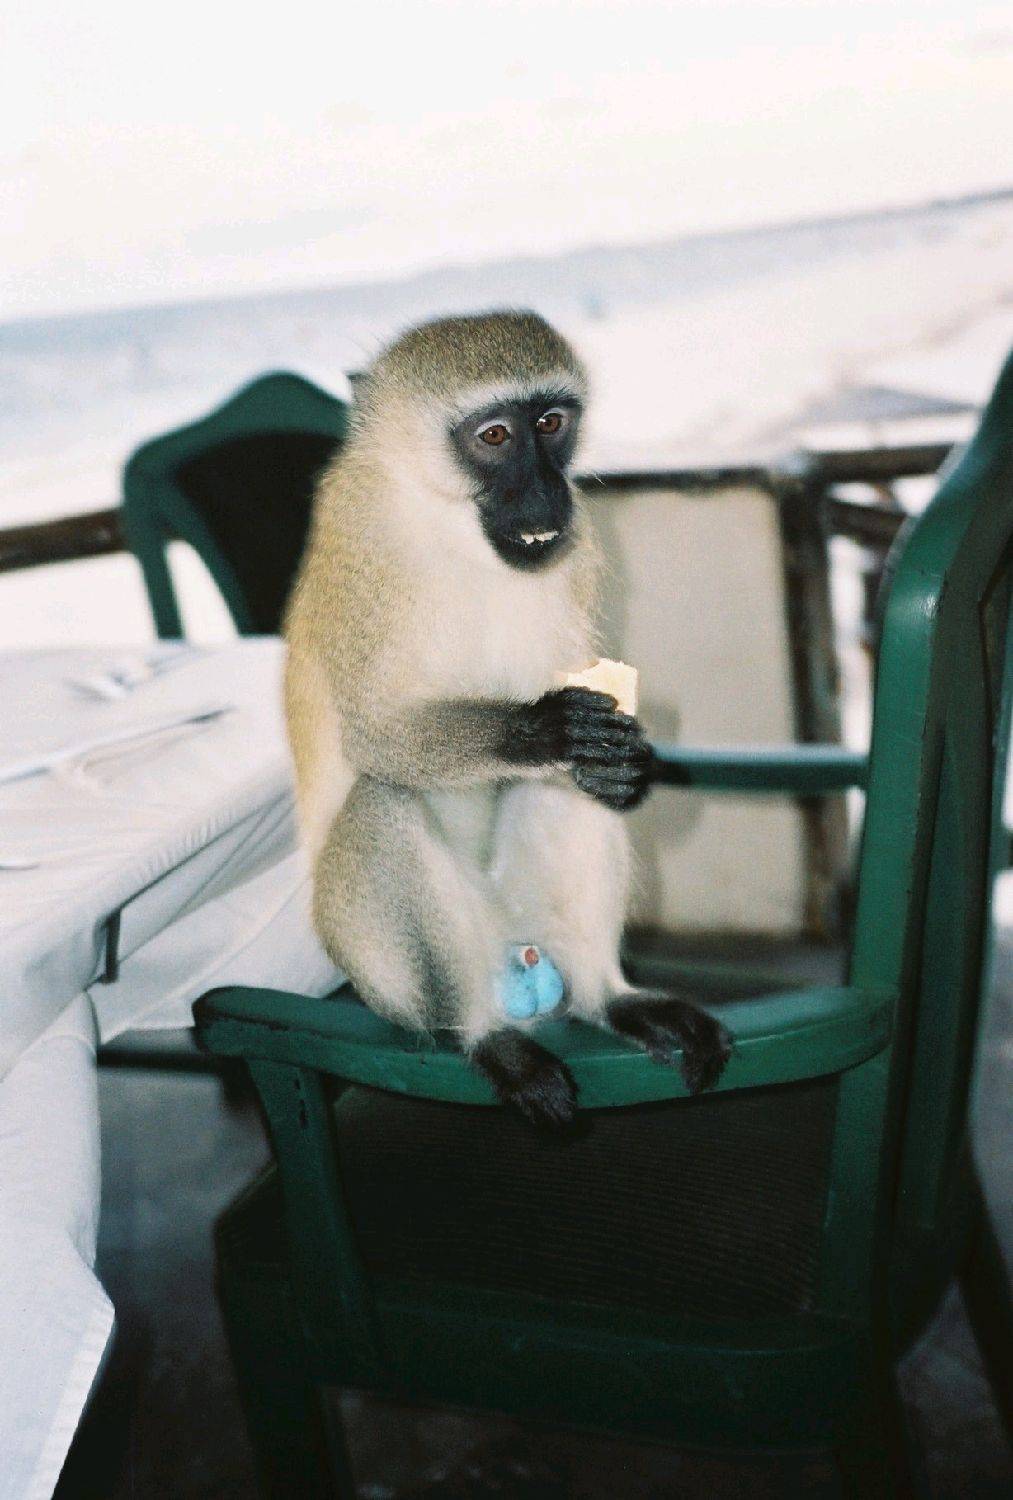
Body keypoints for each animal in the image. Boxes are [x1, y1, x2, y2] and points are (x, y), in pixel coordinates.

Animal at [284, 310, 731, 1128]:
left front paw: (632, 763)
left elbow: (591, 749)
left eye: (550, 424)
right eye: (494, 437)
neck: (448, 524)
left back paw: (609, 998)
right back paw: (484, 1036)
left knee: (570, 793)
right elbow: (376, 735)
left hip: (525, 912)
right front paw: (545, 731)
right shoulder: (362, 538)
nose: (545, 490)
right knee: (386, 802)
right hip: (372, 962)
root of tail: (517, 962)